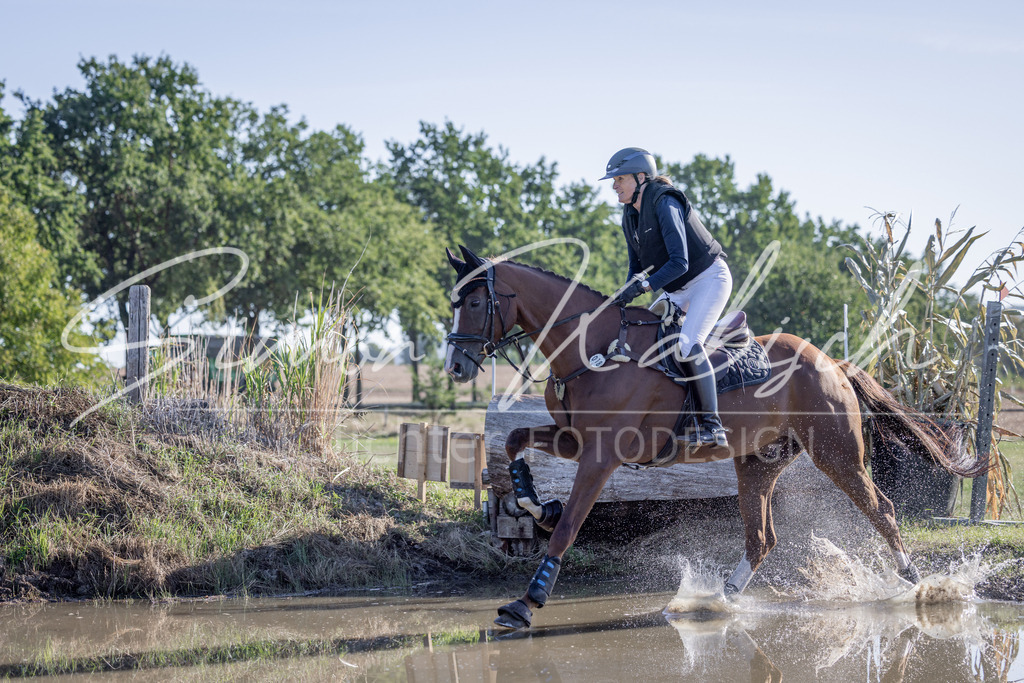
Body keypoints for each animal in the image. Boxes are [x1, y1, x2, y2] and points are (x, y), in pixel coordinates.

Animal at [442, 245, 980, 630]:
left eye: (475, 302)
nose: (455, 367)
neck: (594, 349)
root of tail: (832, 361)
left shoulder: (601, 455)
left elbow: (570, 525)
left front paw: (526, 602)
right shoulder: (574, 438)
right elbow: (515, 440)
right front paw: (535, 504)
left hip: (837, 454)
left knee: (881, 510)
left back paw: (918, 586)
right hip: (758, 461)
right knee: (762, 537)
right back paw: (718, 601)